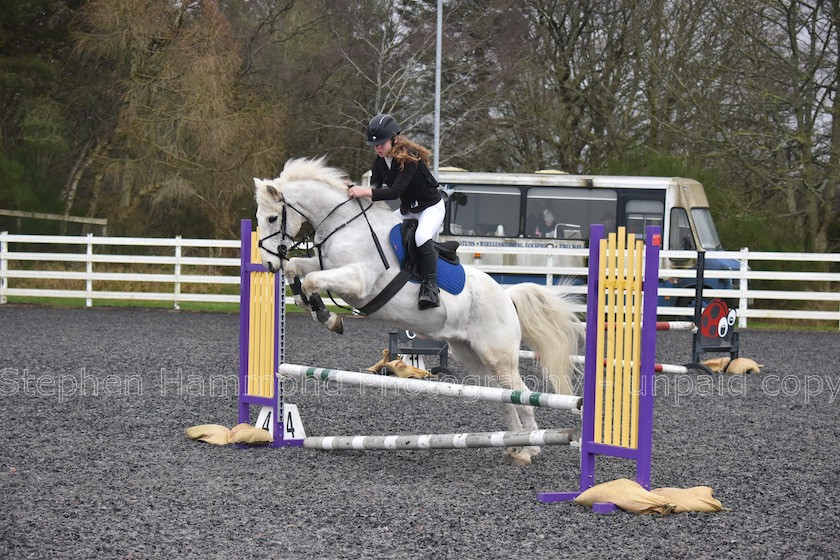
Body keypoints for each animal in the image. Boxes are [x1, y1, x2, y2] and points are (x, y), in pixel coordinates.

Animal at [256, 156, 584, 464]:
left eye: (272, 218)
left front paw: (328, 316)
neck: (345, 225)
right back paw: (516, 445)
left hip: (499, 355)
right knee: (505, 397)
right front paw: (315, 308)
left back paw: (530, 449)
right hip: (475, 357)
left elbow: (311, 279)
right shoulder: (326, 266)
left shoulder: (359, 282)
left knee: (523, 394)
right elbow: (298, 270)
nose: (268, 264)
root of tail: (506, 296)